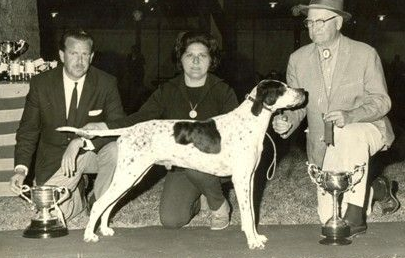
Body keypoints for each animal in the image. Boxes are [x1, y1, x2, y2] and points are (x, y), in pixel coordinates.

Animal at [81, 79, 304, 249]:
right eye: (282, 88)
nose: (303, 92)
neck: (249, 121)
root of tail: (128, 130)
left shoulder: (249, 179)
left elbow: (251, 212)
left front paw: (256, 236)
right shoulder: (240, 180)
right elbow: (248, 214)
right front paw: (252, 242)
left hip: (132, 178)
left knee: (109, 204)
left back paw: (105, 229)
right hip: (128, 176)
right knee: (100, 203)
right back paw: (89, 235)